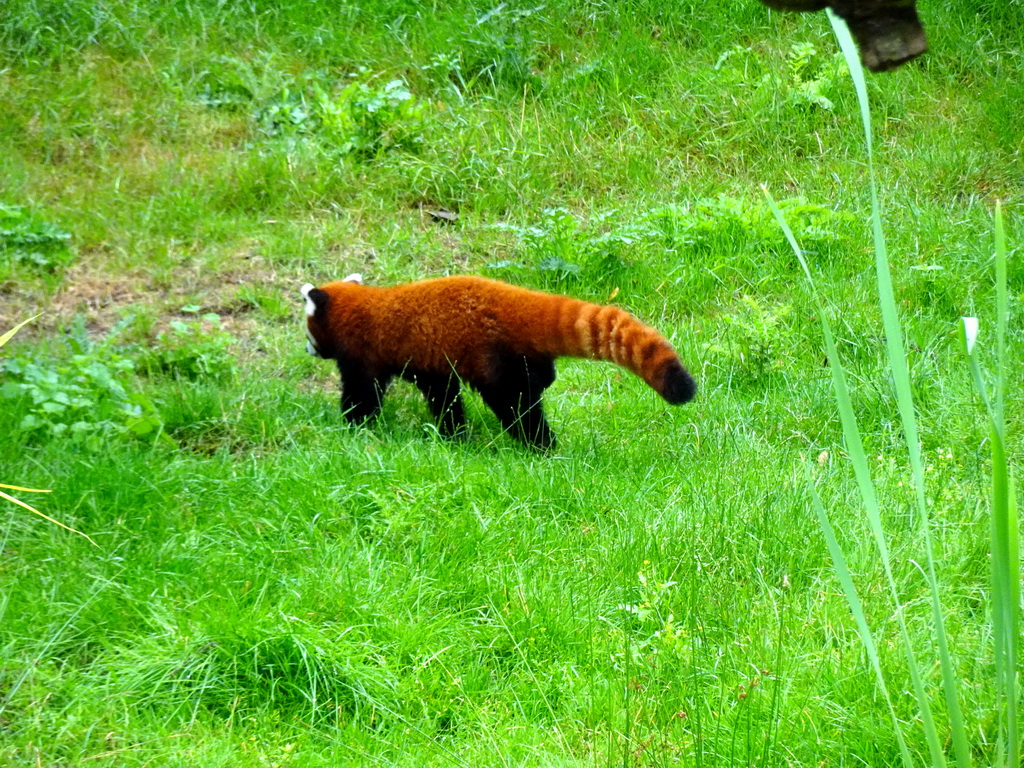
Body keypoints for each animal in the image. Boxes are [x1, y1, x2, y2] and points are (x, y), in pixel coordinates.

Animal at [299, 274, 696, 450]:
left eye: (307, 332)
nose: (308, 350)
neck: (363, 306)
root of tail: (507, 297)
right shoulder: (433, 365)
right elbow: (444, 396)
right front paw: (453, 434)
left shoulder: (362, 356)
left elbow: (363, 396)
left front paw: (354, 426)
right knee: (537, 379)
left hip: (489, 360)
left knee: (516, 403)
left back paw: (540, 445)